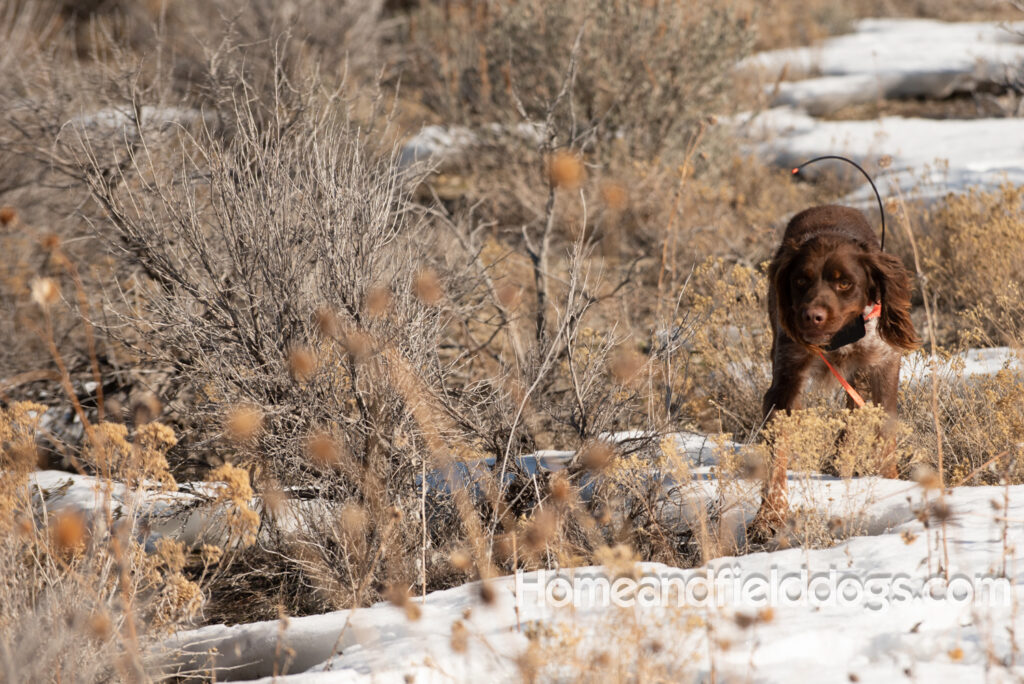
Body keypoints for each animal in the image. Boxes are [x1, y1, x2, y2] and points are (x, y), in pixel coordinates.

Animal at [749, 202, 917, 540]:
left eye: (844, 283)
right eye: (801, 281)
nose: (811, 316)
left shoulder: (884, 365)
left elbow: (884, 435)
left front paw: (888, 483)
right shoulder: (785, 381)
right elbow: (776, 457)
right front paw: (769, 515)